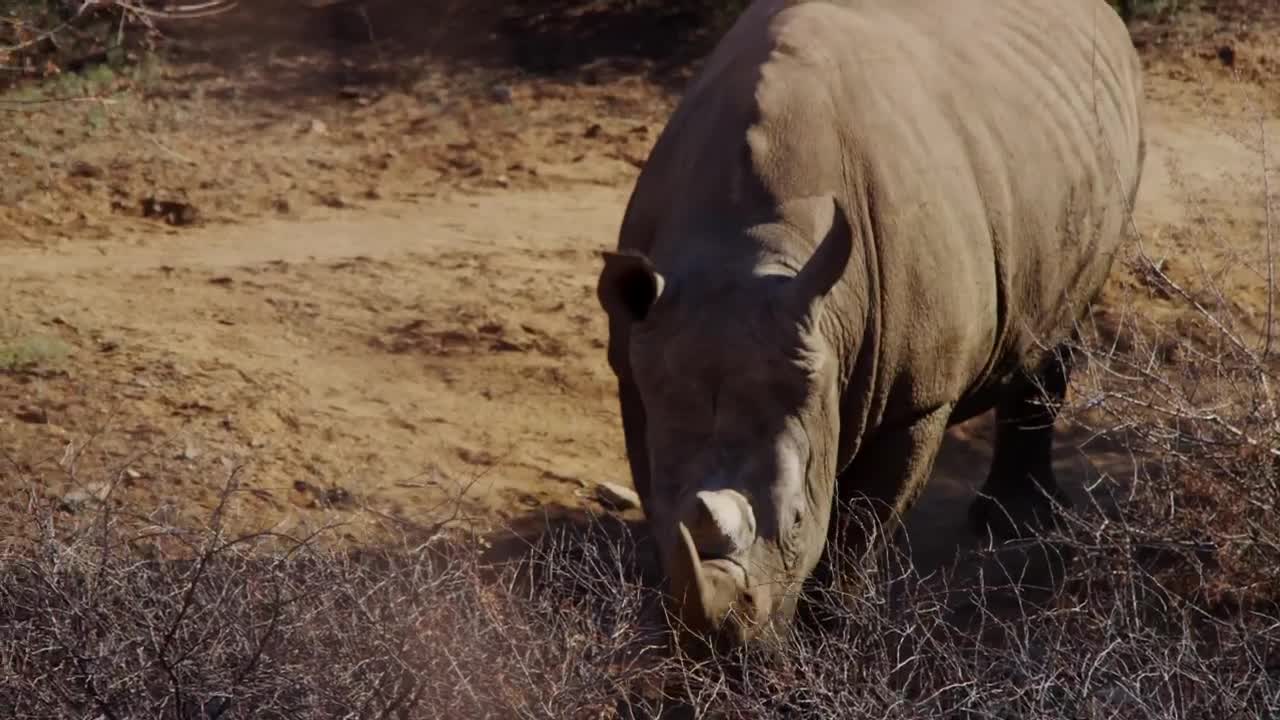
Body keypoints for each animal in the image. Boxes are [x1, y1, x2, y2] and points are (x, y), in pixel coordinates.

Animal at [596, 0, 1146, 652]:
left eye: (798, 519)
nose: (724, 647)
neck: (750, 248)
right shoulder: (640, 364)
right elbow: (662, 475)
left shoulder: (919, 398)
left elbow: (858, 528)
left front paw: (829, 641)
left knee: (1061, 325)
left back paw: (1016, 526)